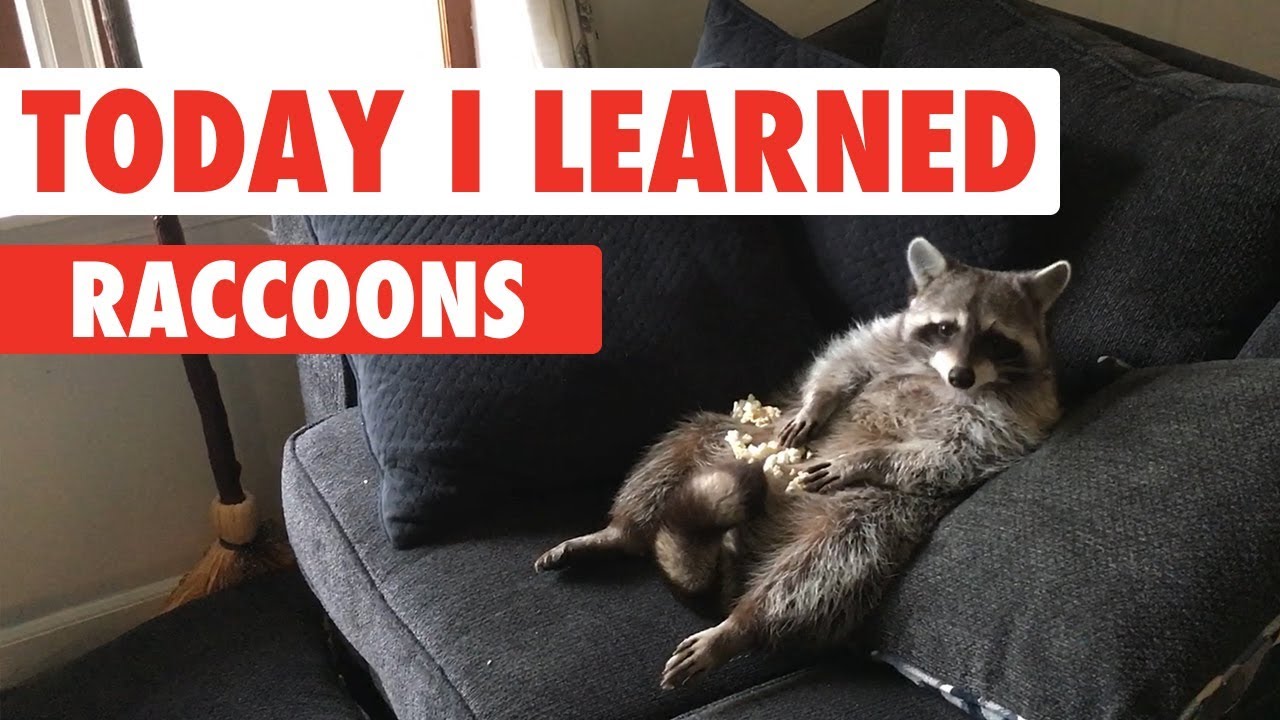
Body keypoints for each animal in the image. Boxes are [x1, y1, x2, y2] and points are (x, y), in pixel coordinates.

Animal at [535, 237, 1072, 689]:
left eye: (996, 339)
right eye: (945, 327)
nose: (961, 376)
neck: (939, 376)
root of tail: (749, 540)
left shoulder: (1022, 419)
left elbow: (961, 454)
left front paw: (867, 457)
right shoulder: (887, 337)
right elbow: (843, 359)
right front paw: (818, 402)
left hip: (878, 512)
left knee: (829, 563)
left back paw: (741, 625)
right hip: (740, 435)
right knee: (683, 445)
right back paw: (620, 532)